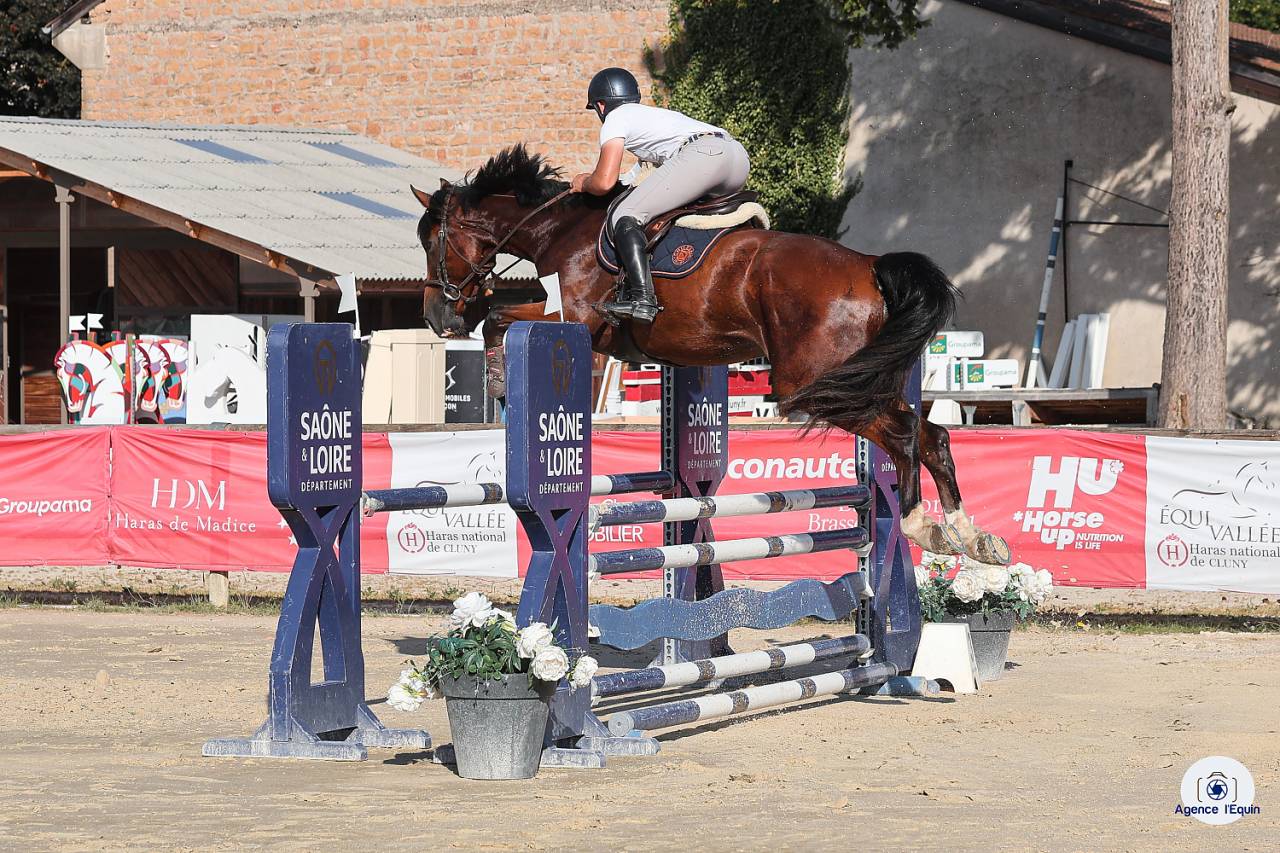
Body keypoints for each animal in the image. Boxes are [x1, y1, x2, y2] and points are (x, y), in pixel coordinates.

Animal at [409, 145, 1010, 564]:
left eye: (432, 240)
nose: (438, 318)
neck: (562, 227)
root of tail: (868, 266)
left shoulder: (575, 319)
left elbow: (498, 320)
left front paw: (496, 378)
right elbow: (500, 317)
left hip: (812, 384)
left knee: (907, 433)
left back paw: (921, 526)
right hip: (860, 378)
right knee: (933, 435)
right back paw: (970, 536)